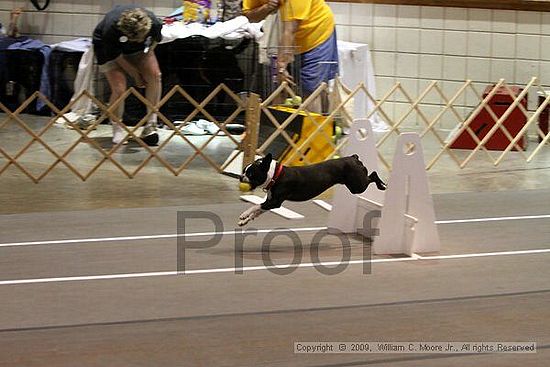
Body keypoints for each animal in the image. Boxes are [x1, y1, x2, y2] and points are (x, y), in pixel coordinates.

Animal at [238, 153, 388, 227]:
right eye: (244, 170)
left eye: (250, 174)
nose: (241, 176)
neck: (276, 175)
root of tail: (353, 158)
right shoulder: (270, 202)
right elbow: (258, 210)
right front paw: (245, 221)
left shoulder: (275, 202)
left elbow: (256, 206)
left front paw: (244, 215)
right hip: (355, 185)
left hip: (358, 186)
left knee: (373, 175)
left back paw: (383, 185)